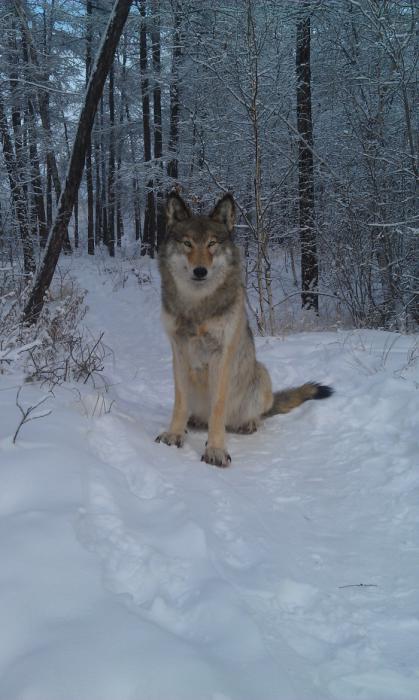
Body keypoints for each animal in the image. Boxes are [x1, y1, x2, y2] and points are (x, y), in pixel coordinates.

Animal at [155, 192, 333, 467]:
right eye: (187, 243)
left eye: (211, 244)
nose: (200, 271)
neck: (197, 306)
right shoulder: (179, 351)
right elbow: (180, 402)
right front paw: (174, 435)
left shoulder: (221, 356)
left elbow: (218, 407)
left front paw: (216, 450)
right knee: (199, 415)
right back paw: (192, 422)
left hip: (261, 373)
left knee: (250, 417)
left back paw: (247, 424)